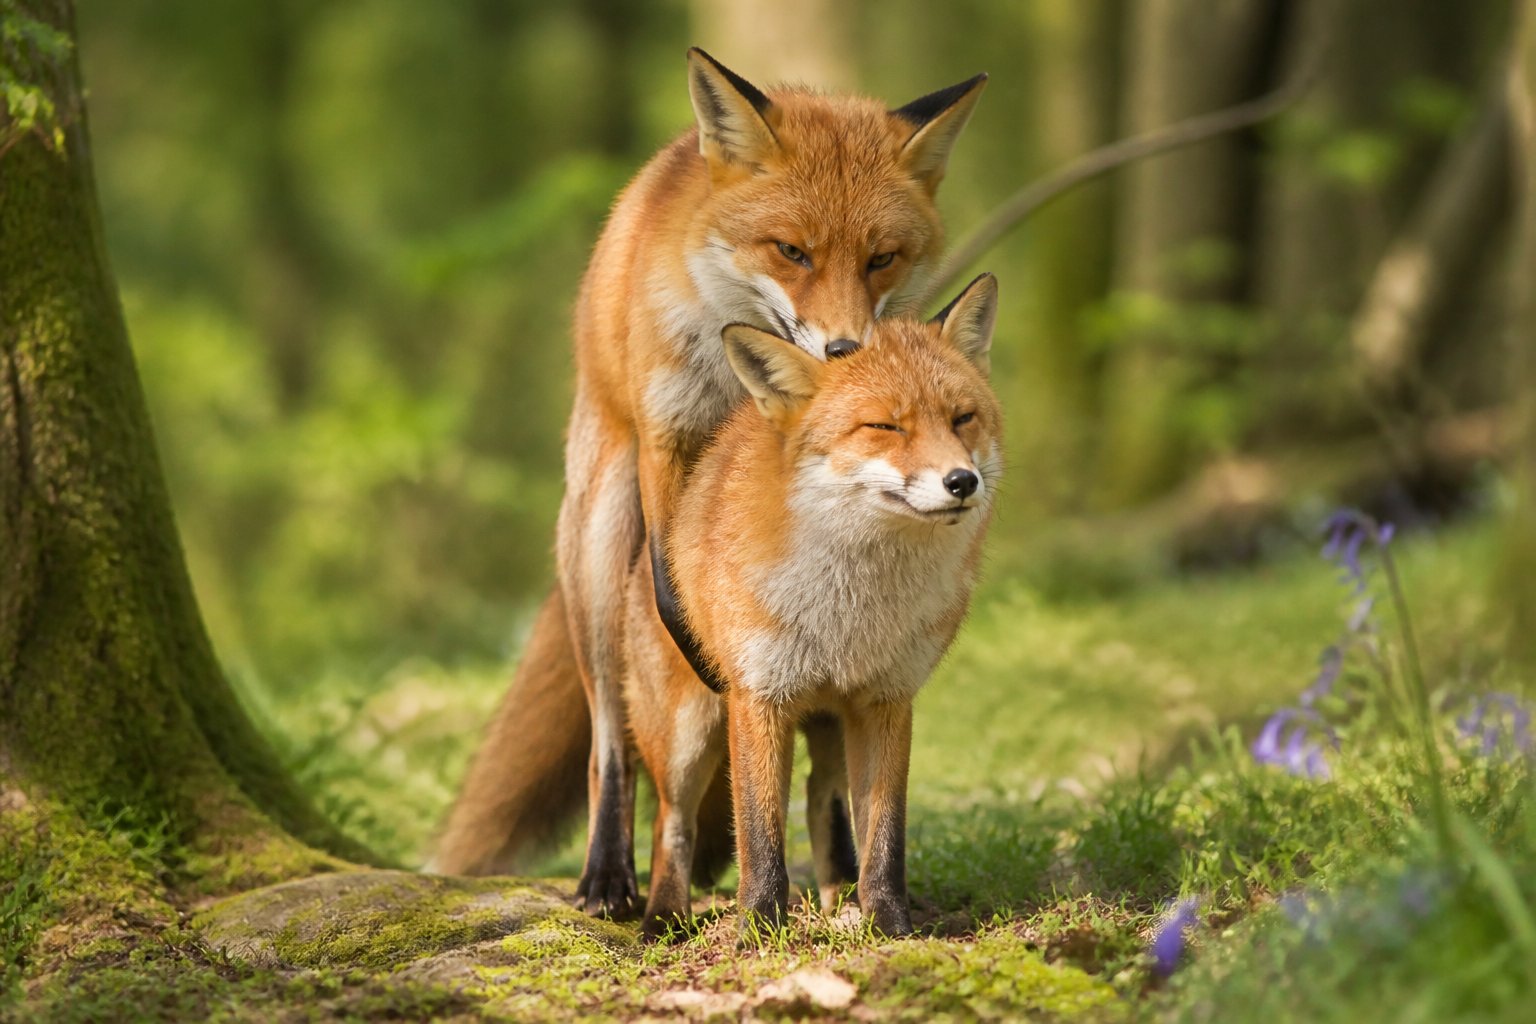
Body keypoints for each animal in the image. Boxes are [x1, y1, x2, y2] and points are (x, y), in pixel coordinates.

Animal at [622, 274, 1003, 938]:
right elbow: (759, 833)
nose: (962, 482)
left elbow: (885, 834)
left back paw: (838, 897)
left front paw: (888, 923)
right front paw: (760, 927)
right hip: (687, 734)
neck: (850, 610)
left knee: (823, 798)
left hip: (828, 724)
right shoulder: (759, 698)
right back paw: (663, 917)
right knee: (673, 821)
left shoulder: (886, 701)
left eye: (963, 418)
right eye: (885, 427)